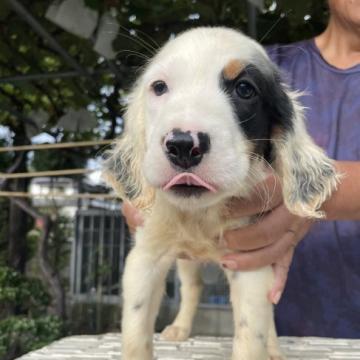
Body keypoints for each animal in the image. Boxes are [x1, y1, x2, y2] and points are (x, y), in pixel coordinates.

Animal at [104, 27, 340, 360]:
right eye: (159, 87)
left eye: (244, 89)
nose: (182, 145)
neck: (202, 214)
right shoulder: (145, 258)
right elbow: (136, 334)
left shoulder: (252, 265)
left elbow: (251, 334)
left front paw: (263, 346)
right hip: (185, 259)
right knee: (193, 288)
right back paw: (180, 328)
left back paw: (274, 349)